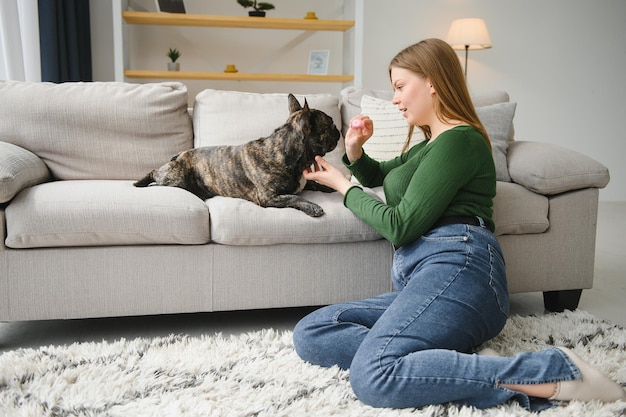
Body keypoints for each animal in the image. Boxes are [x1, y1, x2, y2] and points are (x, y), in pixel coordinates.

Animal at [134, 93, 338, 218]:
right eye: (330, 122)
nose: (338, 129)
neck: (285, 151)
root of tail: (179, 155)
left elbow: (313, 183)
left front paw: (329, 186)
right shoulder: (268, 197)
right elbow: (294, 198)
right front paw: (313, 207)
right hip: (176, 178)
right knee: (155, 175)